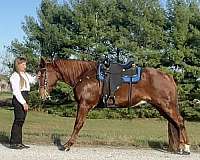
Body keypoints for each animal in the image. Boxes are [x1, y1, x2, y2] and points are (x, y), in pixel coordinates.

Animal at [38, 58, 191, 154]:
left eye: (42, 74)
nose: (41, 94)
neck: (84, 76)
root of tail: (168, 77)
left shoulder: (84, 105)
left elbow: (78, 124)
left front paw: (67, 145)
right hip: (162, 107)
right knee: (175, 123)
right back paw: (179, 147)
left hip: (167, 106)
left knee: (180, 122)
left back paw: (186, 148)